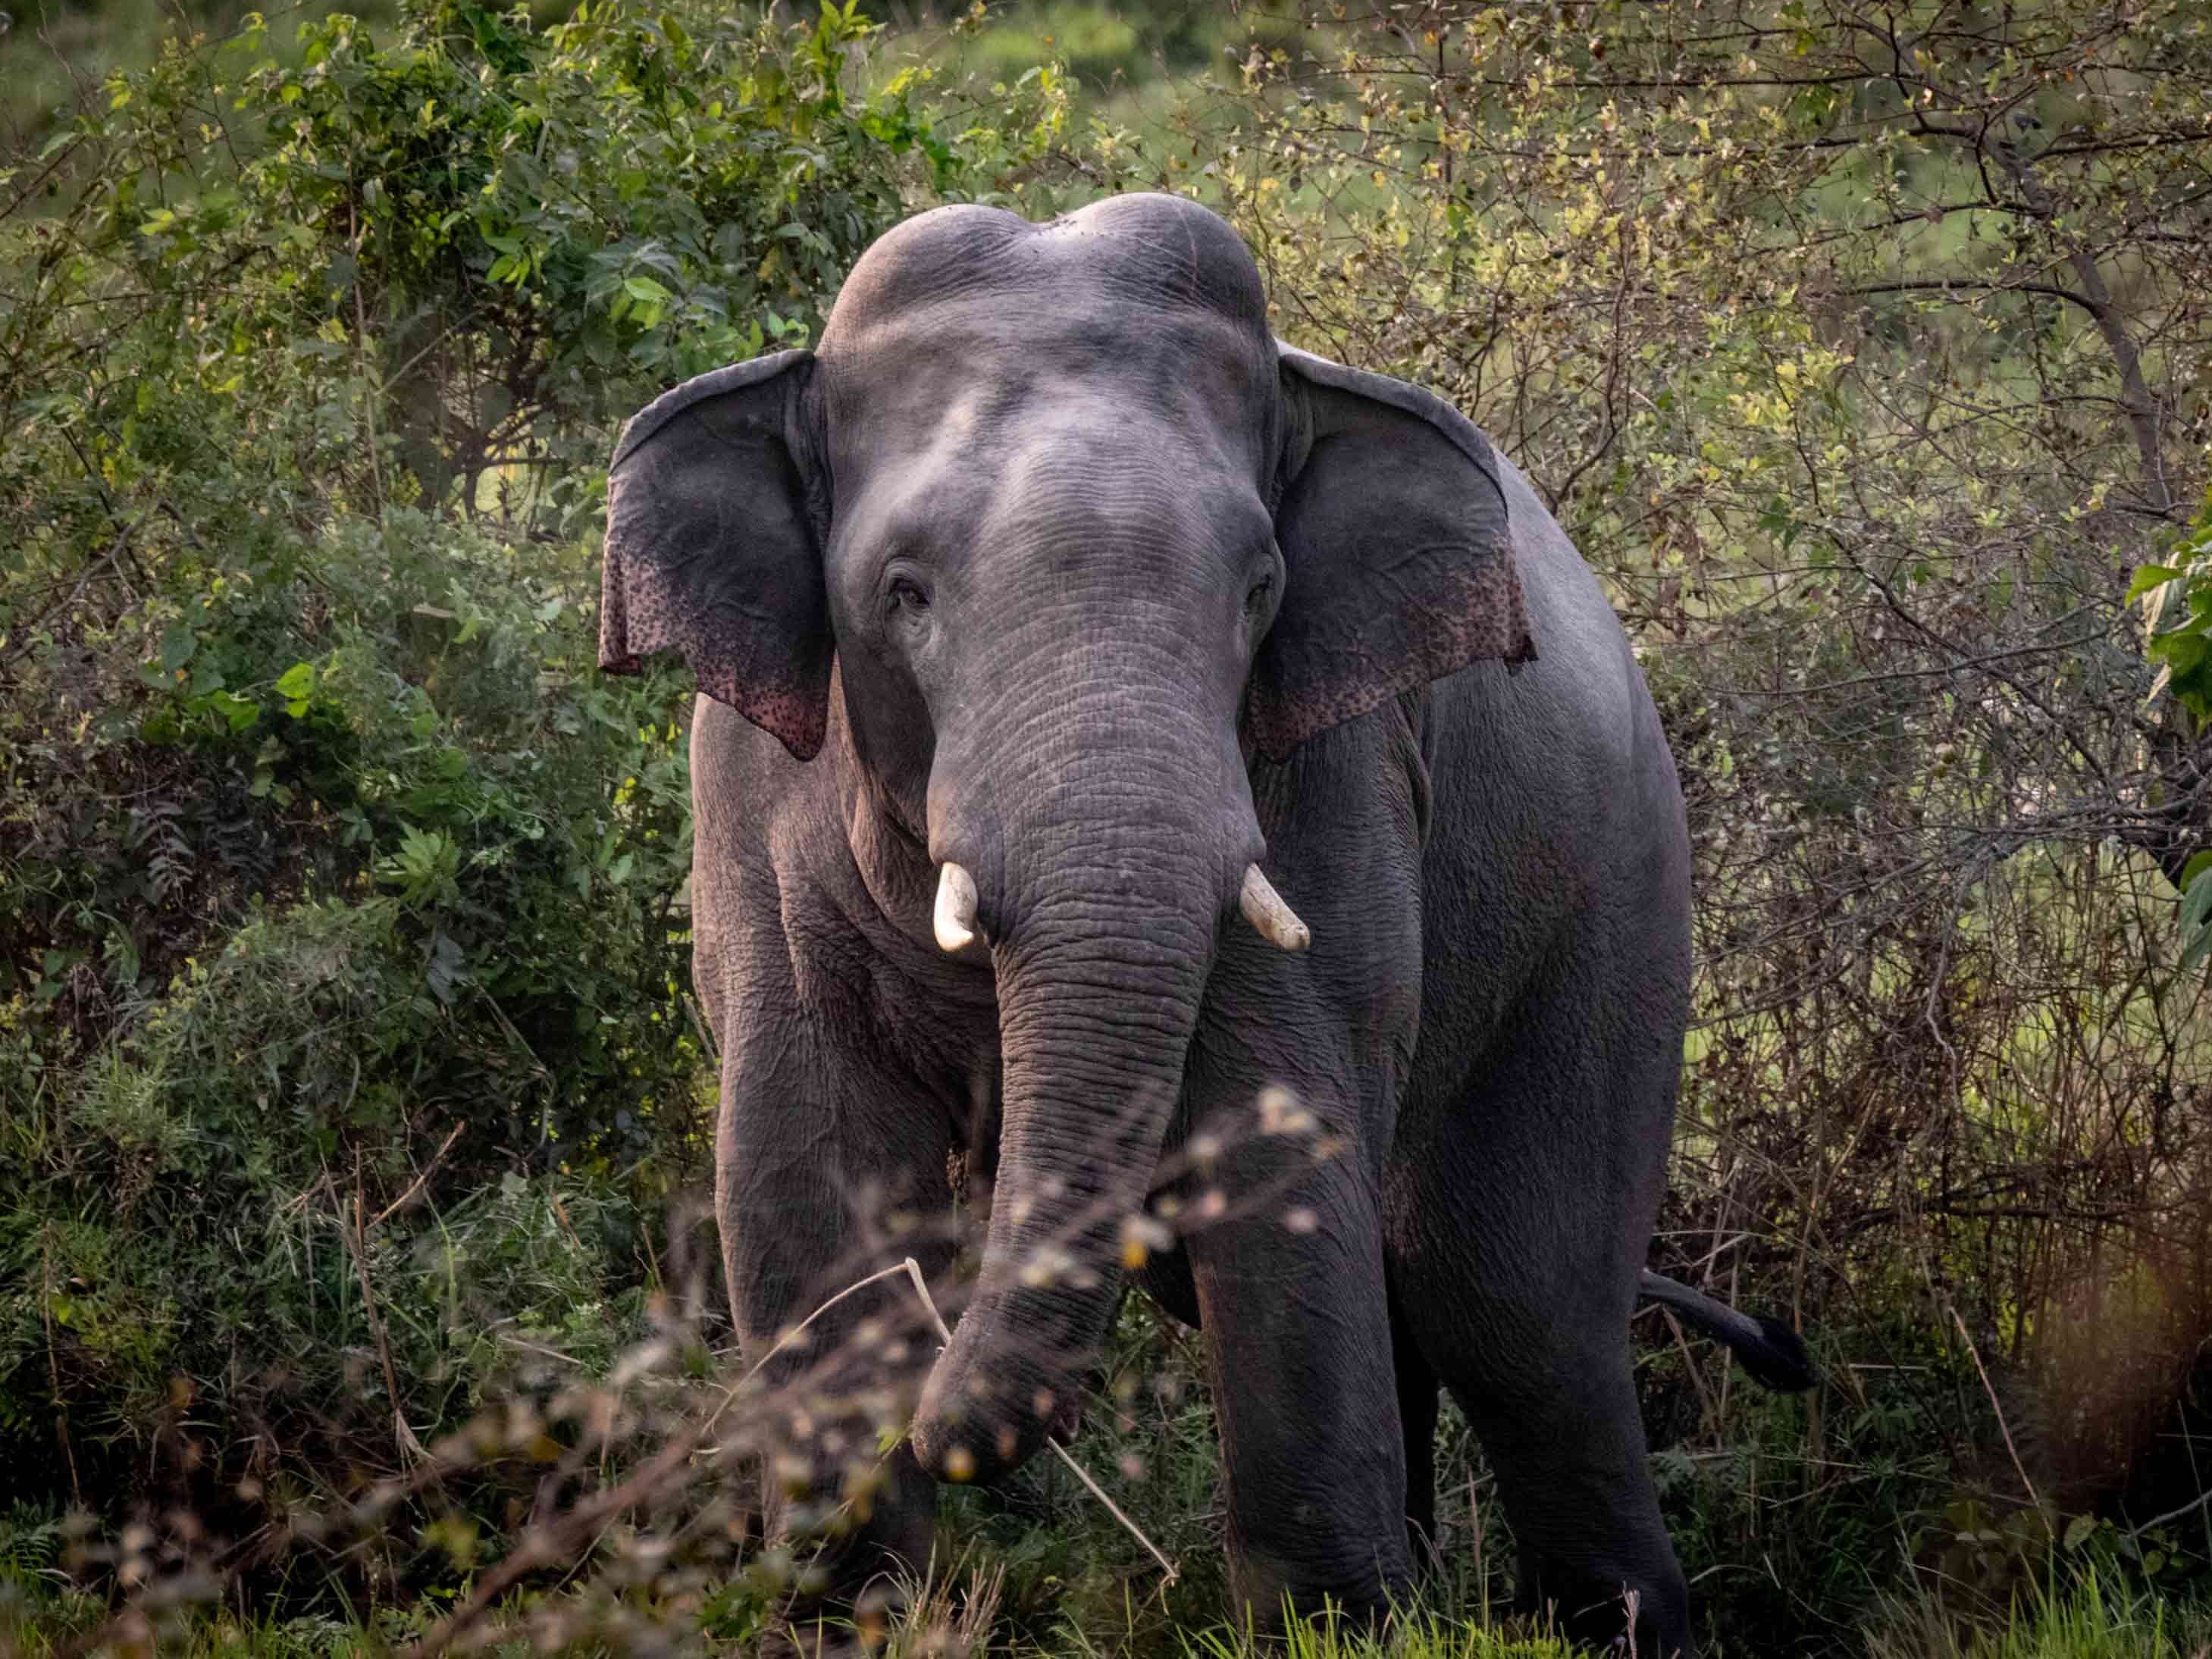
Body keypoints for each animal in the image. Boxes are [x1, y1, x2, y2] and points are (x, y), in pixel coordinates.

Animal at [597, 191, 1812, 1656]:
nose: (945, 1418)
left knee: (1515, 1309)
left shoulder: (1336, 767)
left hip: (1616, 894)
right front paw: (848, 1607)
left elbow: (1280, 1149)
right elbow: (803, 1171)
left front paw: (1327, 1628)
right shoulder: (753, 811)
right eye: (903, 591)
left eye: (1256, 588)